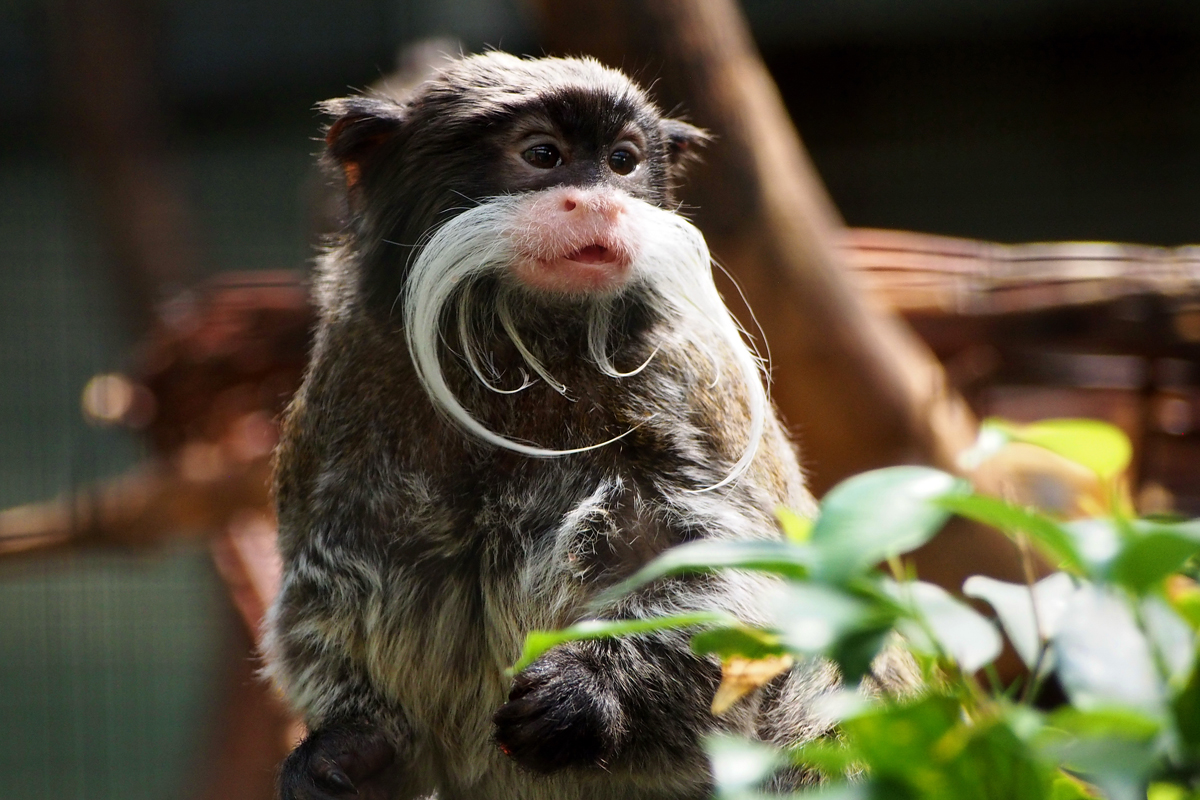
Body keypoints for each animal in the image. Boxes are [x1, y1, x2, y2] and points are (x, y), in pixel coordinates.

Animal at [265, 53, 916, 796]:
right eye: (543, 155)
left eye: (622, 161)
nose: (601, 200)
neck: (519, 351)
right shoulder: (346, 392)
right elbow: (328, 595)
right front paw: (349, 747)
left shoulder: (691, 384)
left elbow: (735, 574)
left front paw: (588, 693)